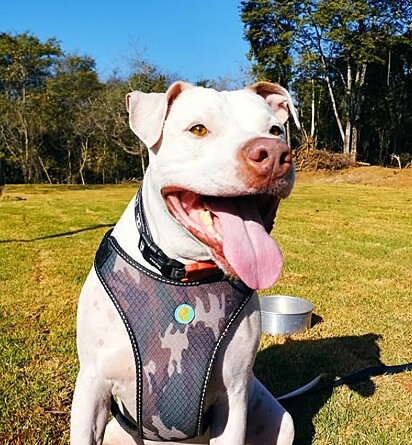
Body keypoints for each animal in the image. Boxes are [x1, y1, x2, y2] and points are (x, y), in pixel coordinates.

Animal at [71, 80, 300, 444]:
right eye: (198, 129)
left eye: (276, 131)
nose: (274, 154)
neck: (182, 272)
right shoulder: (92, 385)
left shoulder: (234, 397)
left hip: (279, 418)